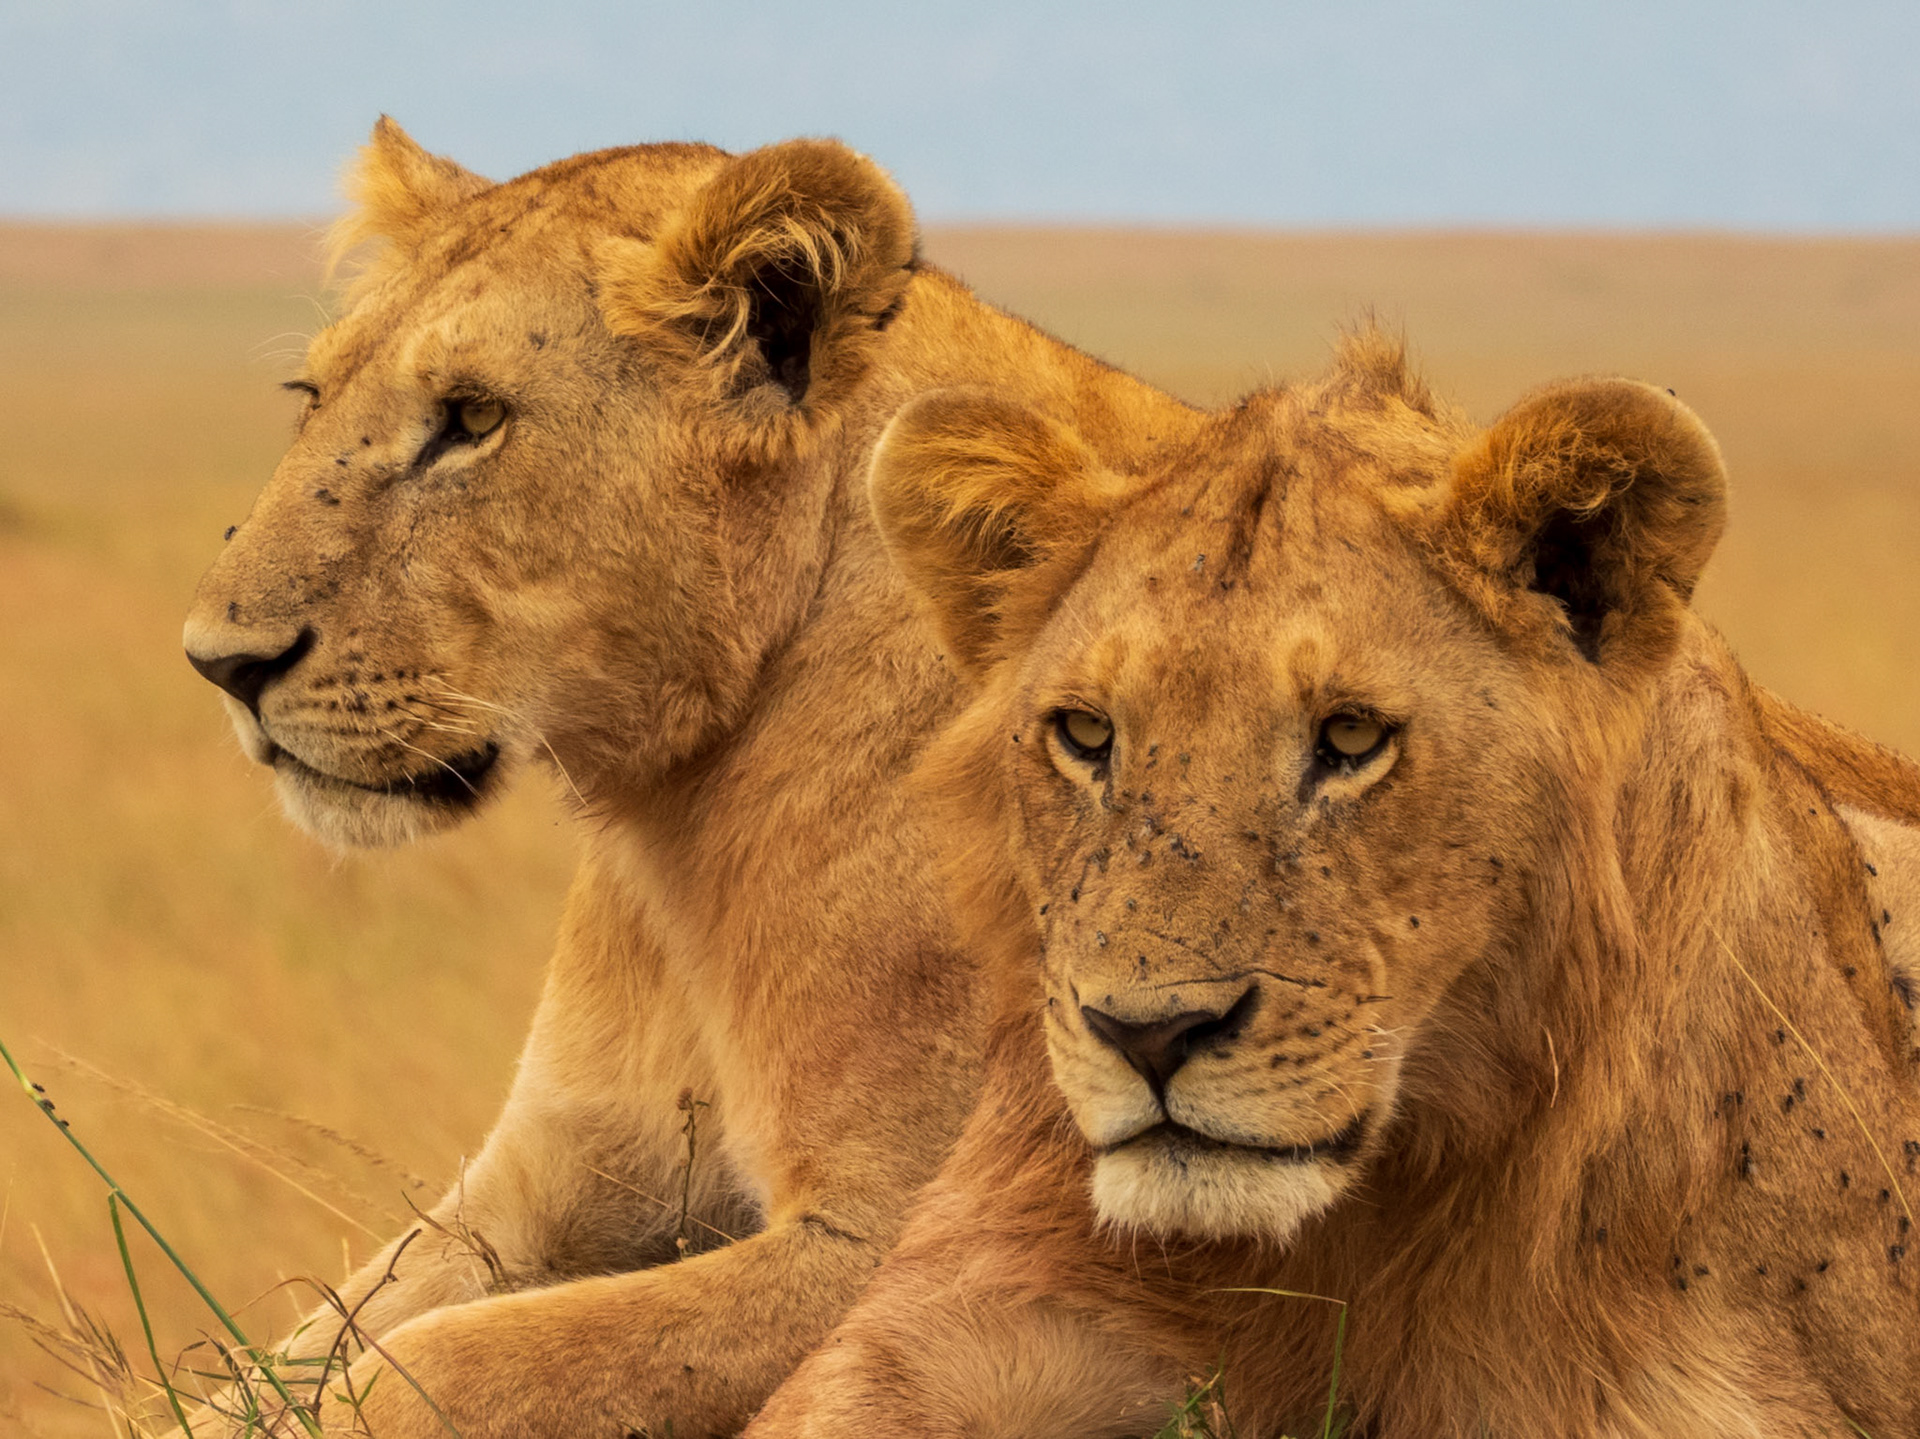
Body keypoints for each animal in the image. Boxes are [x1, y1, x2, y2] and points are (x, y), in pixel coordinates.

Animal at [179, 120, 1199, 1437]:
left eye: (470, 416)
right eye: (311, 399)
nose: (219, 661)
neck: (678, 818)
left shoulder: (937, 1239)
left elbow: (443, 1368)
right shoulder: (542, 1174)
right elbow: (268, 1367)